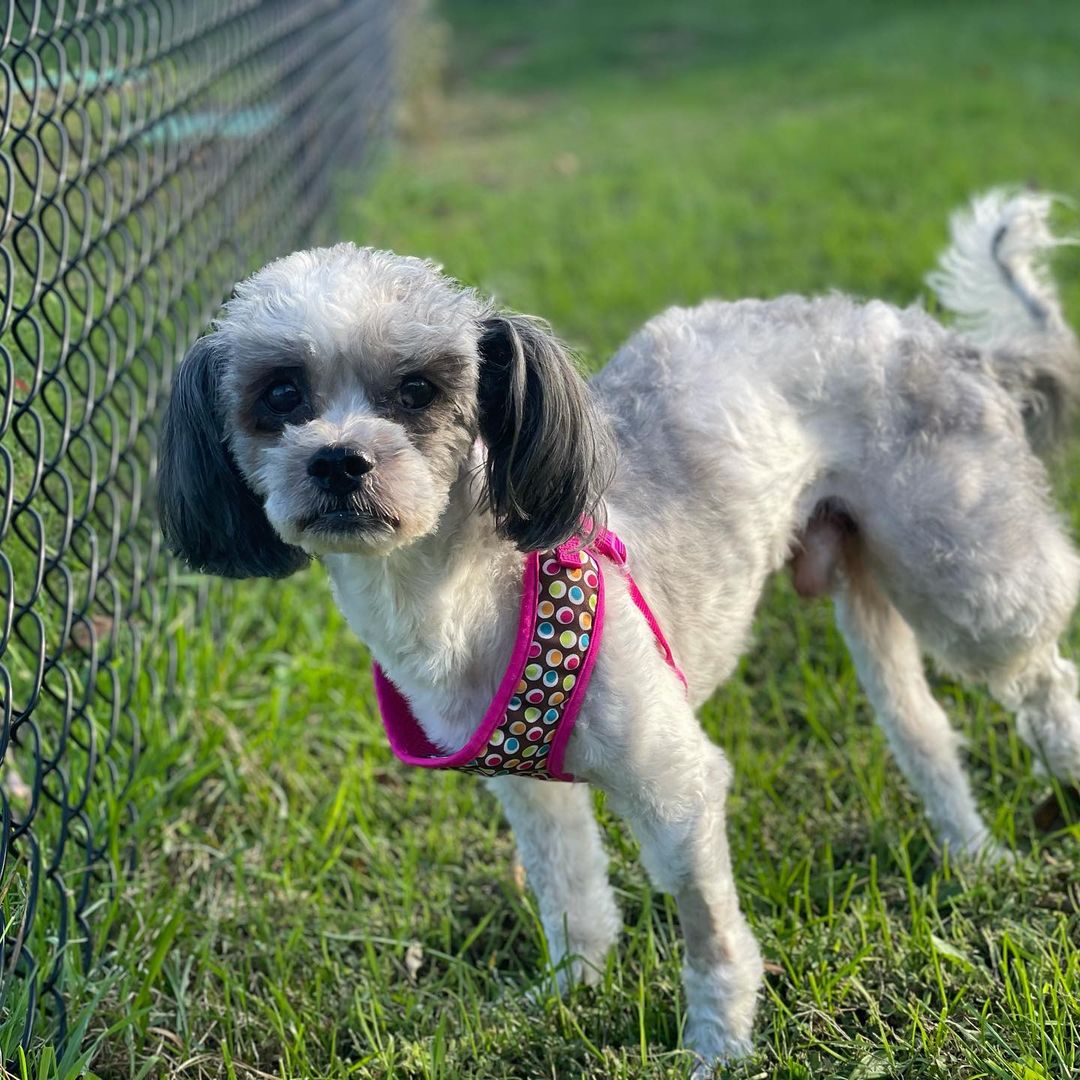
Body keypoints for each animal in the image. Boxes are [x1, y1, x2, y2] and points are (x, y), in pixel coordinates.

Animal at [157, 190, 1080, 1067]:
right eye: (281, 395)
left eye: (417, 390)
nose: (339, 460)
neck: (469, 594)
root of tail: (952, 345)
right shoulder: (527, 789)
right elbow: (571, 893)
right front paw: (571, 991)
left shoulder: (675, 788)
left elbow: (708, 930)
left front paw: (719, 1045)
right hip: (866, 579)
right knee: (921, 726)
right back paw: (971, 854)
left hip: (964, 572)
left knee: (1043, 678)